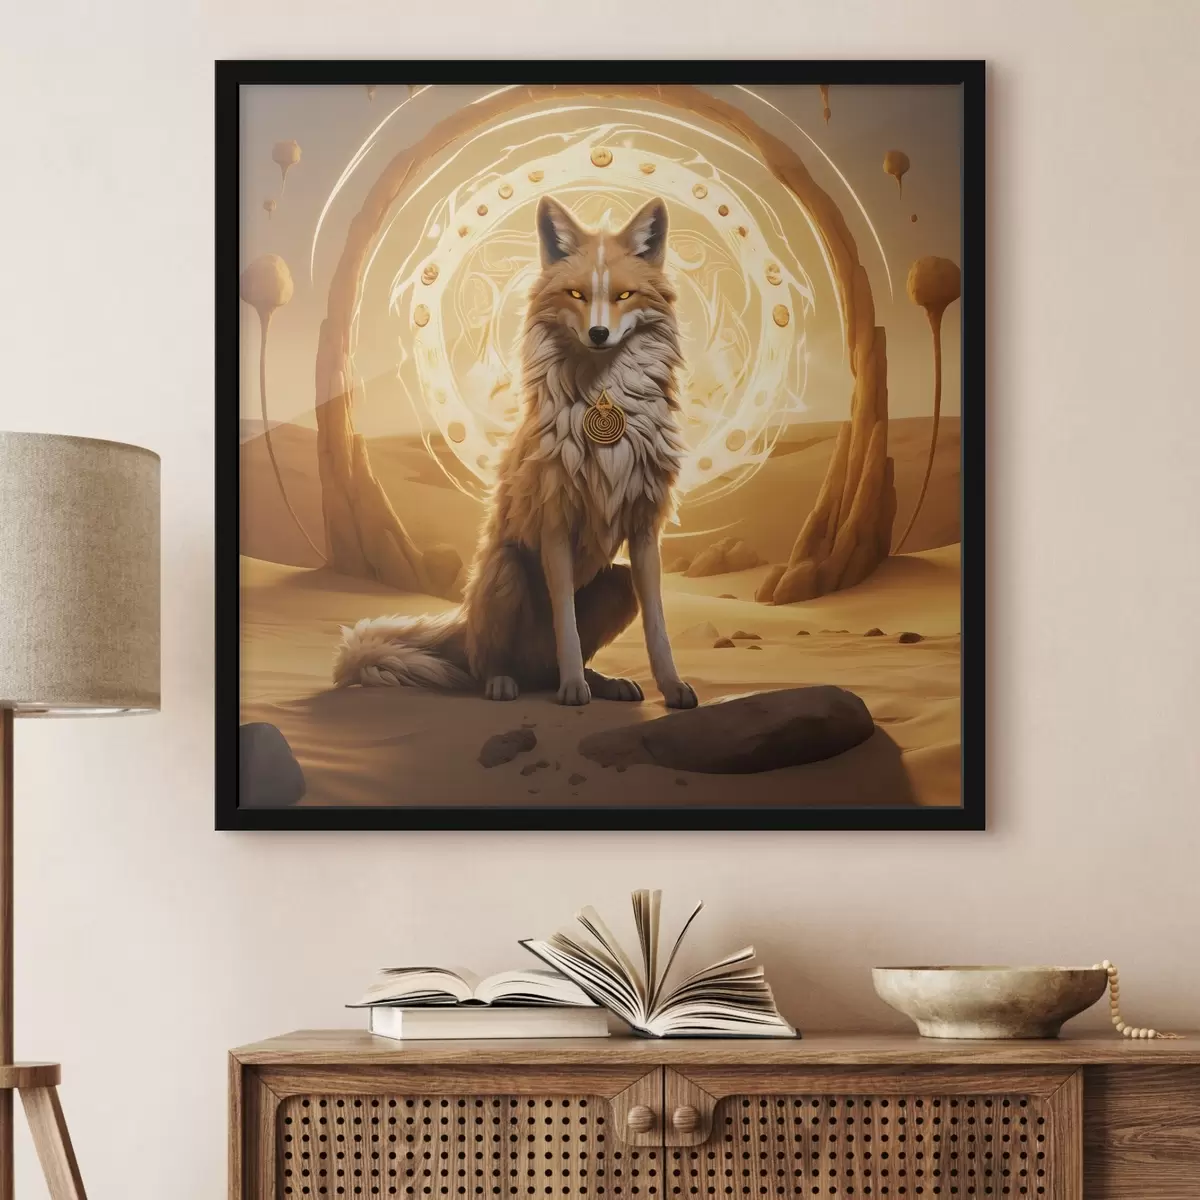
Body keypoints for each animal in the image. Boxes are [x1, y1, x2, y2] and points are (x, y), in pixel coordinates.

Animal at [333, 194, 698, 710]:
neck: (605, 401)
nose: (599, 334)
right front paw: (573, 692)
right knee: (494, 664)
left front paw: (671, 686)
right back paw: (506, 683)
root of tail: (463, 629)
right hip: (506, 573)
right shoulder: (555, 525)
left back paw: (603, 682)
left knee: (549, 666)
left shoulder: (645, 528)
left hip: (619, 581)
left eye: (624, 296)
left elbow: (658, 626)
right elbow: (566, 624)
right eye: (577, 295)